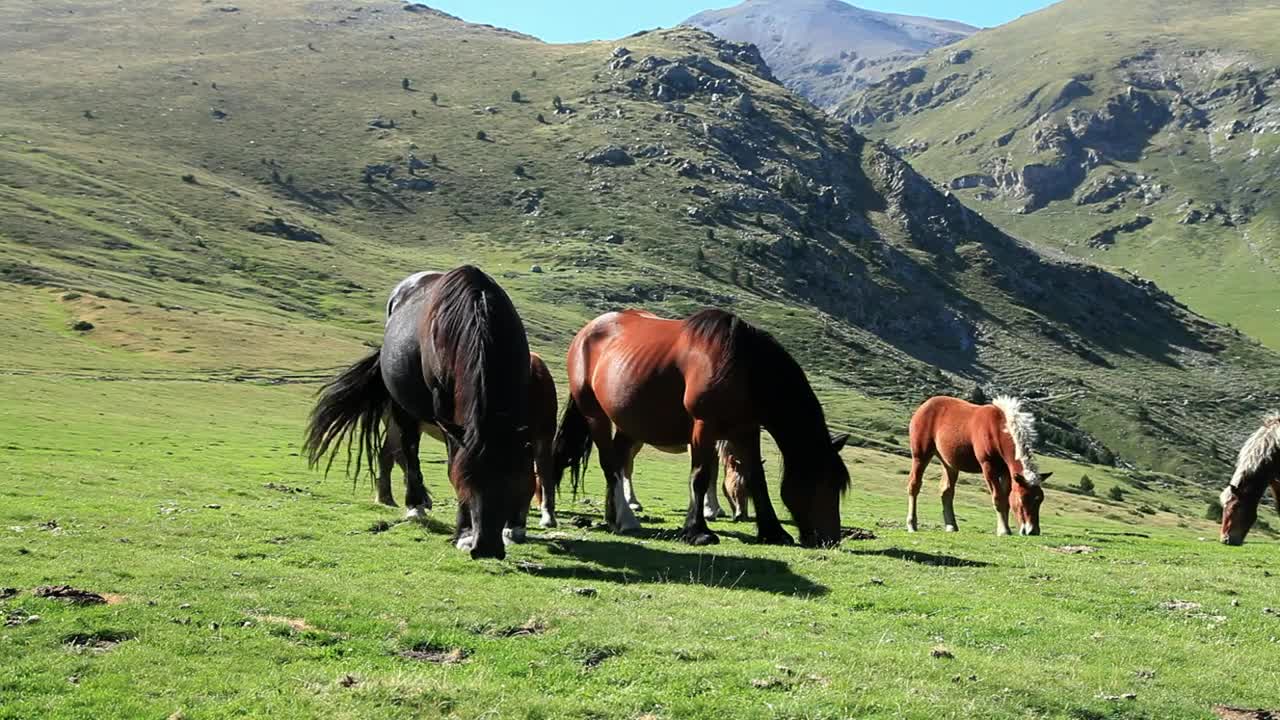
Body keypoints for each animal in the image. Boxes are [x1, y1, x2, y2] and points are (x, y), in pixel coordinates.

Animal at [304, 265, 532, 560]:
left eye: (511, 481)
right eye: (463, 481)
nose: (486, 549)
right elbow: (448, 462)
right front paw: (463, 534)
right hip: (403, 409)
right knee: (408, 450)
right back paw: (415, 506)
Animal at [375, 351, 560, 529]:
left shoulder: (542, 437)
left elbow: (544, 474)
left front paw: (548, 516)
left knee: (391, 455)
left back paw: (391, 498)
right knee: (397, 455)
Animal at [551, 308, 849, 547]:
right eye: (820, 482)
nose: (830, 539)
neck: (742, 366)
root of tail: (585, 333)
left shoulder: (746, 430)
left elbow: (756, 478)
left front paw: (773, 532)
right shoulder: (704, 427)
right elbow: (701, 475)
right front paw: (698, 530)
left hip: (629, 423)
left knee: (620, 460)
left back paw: (614, 516)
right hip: (596, 416)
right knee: (610, 463)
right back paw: (626, 519)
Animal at [906, 395, 1050, 536]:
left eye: (1040, 499)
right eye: (1022, 499)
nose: (1032, 531)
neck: (997, 429)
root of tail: (924, 406)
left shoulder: (1006, 471)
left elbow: (1006, 498)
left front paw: (1004, 528)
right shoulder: (988, 466)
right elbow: (998, 498)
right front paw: (1004, 530)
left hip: (949, 464)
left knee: (946, 491)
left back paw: (951, 526)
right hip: (920, 455)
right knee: (914, 485)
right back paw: (912, 525)